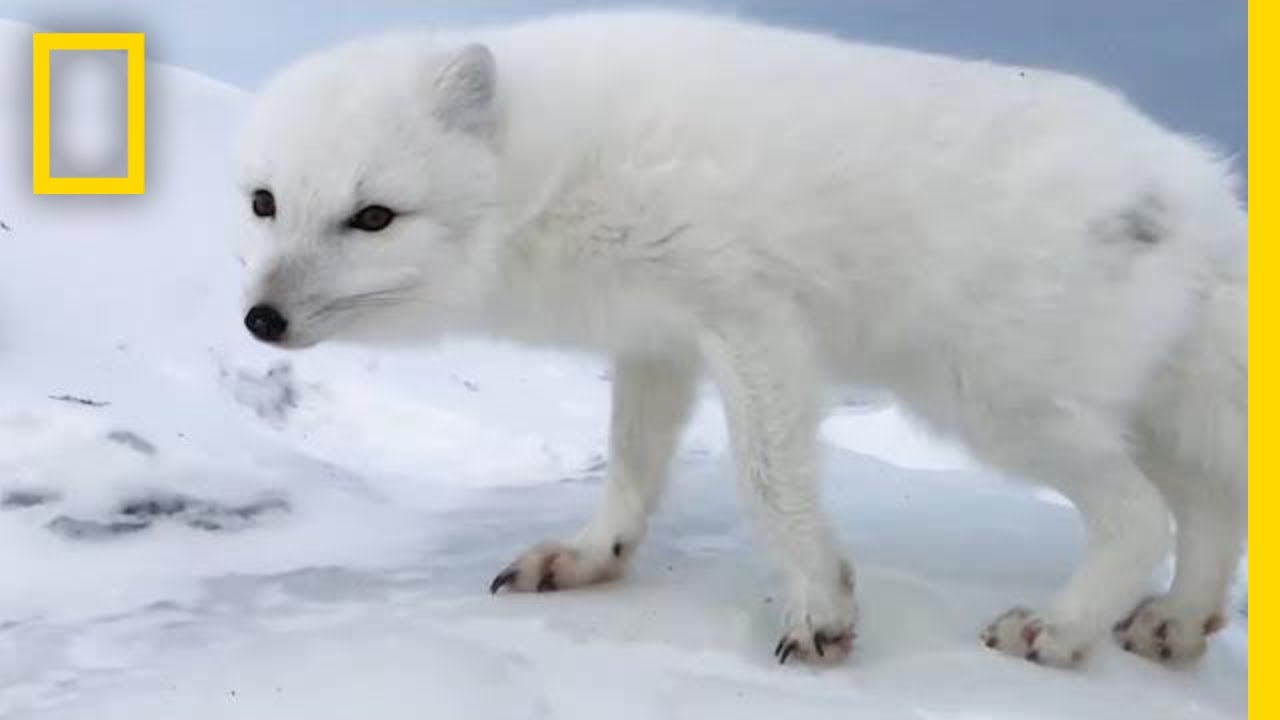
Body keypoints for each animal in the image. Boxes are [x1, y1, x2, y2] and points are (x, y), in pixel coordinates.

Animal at [235, 9, 1244, 666]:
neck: (552, 167)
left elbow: (767, 482)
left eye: (374, 216)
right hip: (1126, 410)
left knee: (1143, 515)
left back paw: (1061, 629)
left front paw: (821, 605)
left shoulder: (751, 319)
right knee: (1211, 510)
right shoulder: (653, 340)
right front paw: (591, 555)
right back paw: (1175, 624)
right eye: (264, 202)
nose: (260, 319)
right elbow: (630, 465)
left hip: (992, 400)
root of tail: (1199, 189)